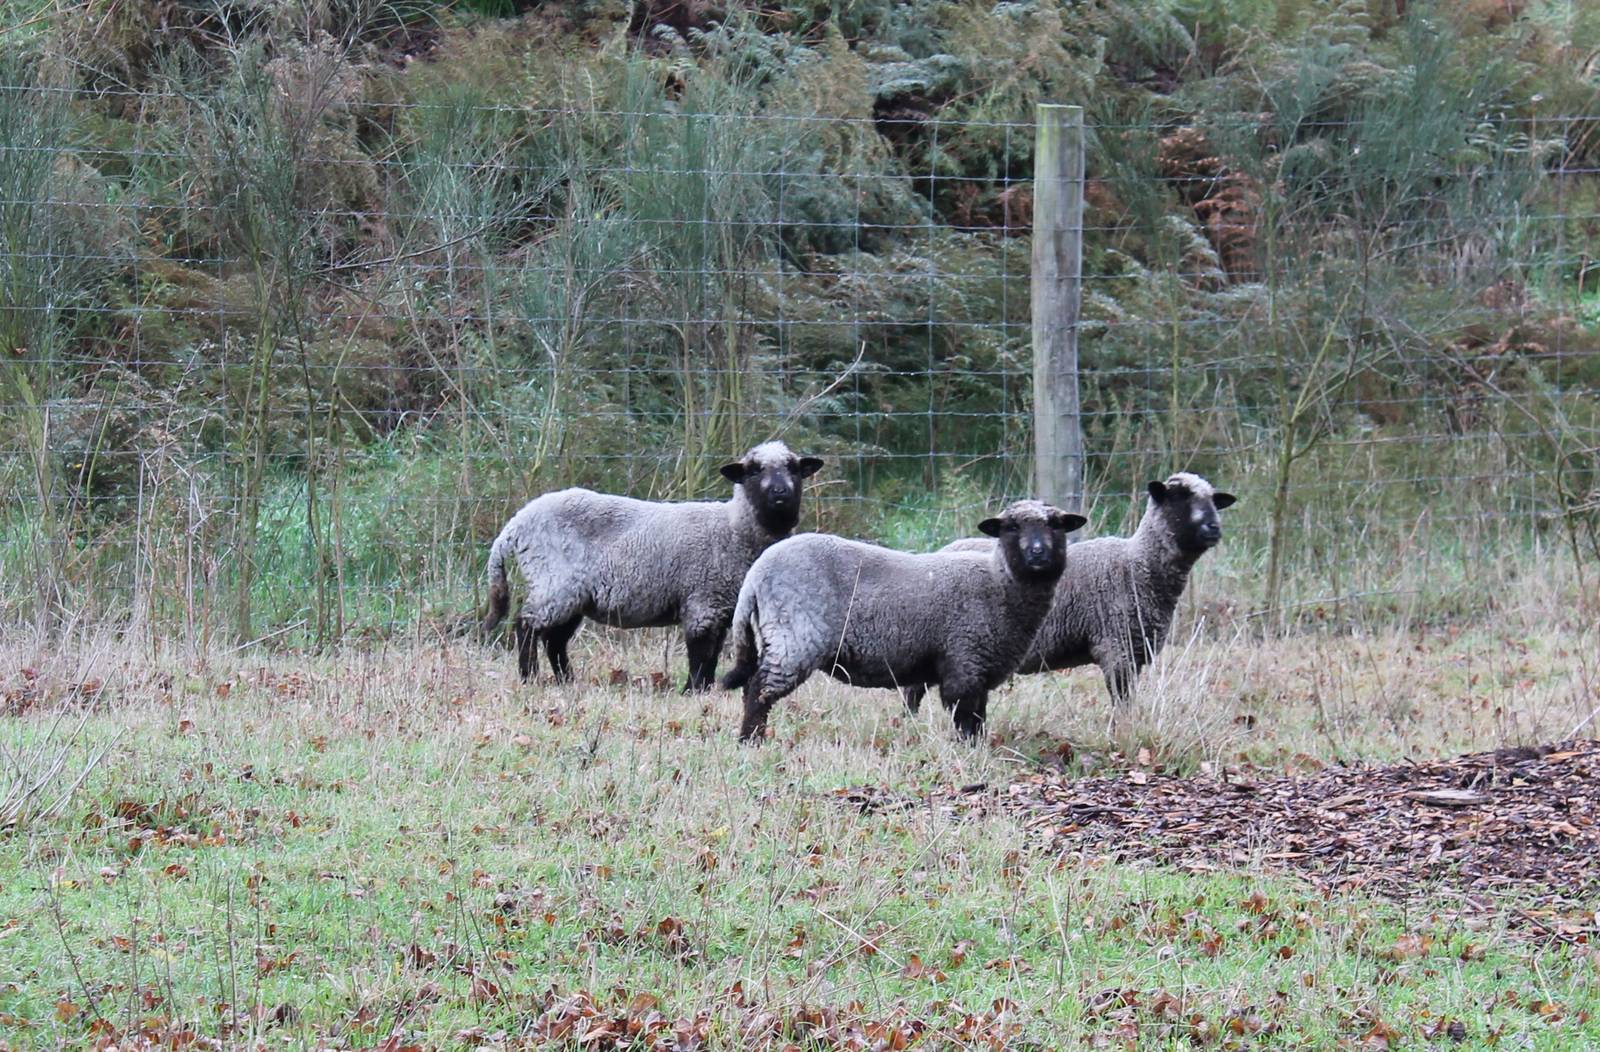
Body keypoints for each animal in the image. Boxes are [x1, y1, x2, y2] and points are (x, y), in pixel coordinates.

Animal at [478, 441, 823, 691]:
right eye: (753, 471)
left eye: (794, 469)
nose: (780, 493)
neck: (734, 528)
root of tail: (516, 523)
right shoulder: (703, 602)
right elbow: (700, 653)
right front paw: (692, 691)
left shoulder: (721, 606)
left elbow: (712, 655)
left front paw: (706, 689)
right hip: (553, 580)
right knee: (526, 625)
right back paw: (530, 677)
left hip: (573, 594)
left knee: (554, 639)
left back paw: (566, 681)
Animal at [719, 500, 1085, 742]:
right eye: (1011, 527)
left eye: (1056, 525)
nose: (1038, 553)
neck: (1000, 583)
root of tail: (757, 572)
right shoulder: (964, 661)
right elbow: (966, 716)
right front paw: (970, 750)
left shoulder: (976, 669)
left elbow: (978, 715)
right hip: (795, 635)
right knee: (759, 689)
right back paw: (751, 741)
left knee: (753, 686)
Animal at [901, 472, 1235, 712]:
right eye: (1178, 498)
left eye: (1213, 501)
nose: (1214, 528)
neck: (1138, 564)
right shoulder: (1115, 646)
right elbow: (1122, 701)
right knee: (912, 690)